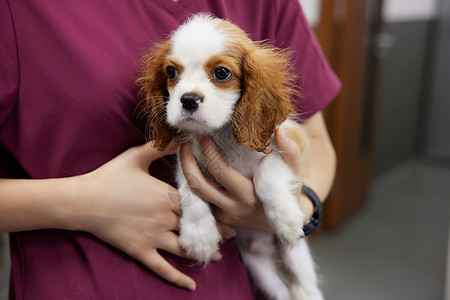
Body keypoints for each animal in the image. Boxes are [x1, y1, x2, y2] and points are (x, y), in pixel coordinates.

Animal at [136, 15, 324, 300]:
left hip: (297, 259)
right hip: (259, 269)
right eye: (171, 72)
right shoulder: (187, 157)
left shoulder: (287, 142)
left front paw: (285, 217)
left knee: (306, 289)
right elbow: (190, 188)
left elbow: (265, 175)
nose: (188, 100)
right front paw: (199, 235)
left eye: (222, 73)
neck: (221, 135)